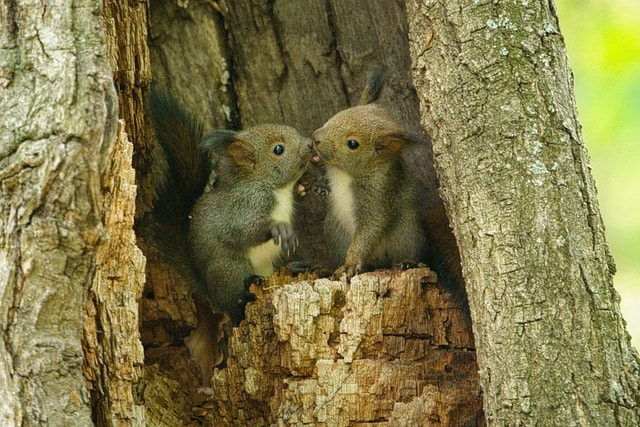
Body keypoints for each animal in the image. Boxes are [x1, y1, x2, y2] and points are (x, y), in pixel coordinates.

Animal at [312, 71, 467, 310]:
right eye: (340, 114)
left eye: (353, 144)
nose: (316, 138)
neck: (346, 174)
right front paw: (317, 180)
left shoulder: (379, 194)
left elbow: (371, 227)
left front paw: (350, 263)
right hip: (334, 230)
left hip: (407, 231)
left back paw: (405, 262)